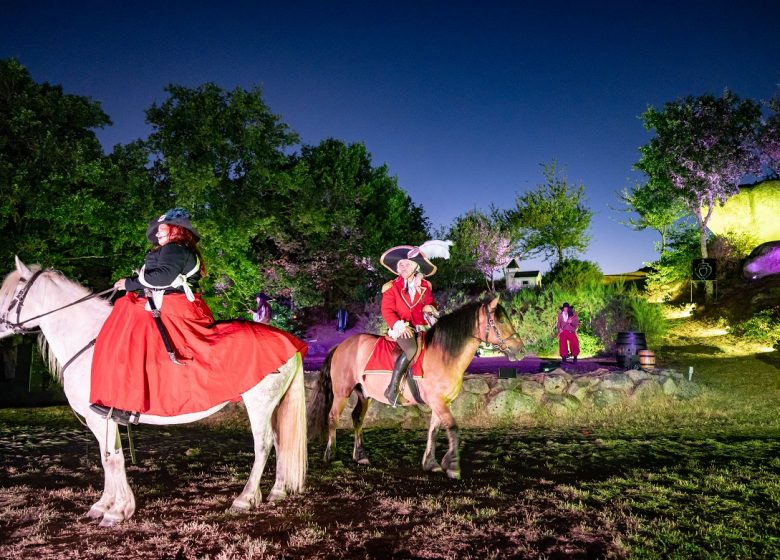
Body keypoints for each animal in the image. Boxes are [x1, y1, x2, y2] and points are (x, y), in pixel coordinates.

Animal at [0, 256, 308, 528]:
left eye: (10, 295)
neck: (89, 342)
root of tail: (289, 341)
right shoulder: (107, 419)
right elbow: (109, 457)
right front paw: (105, 505)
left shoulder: (100, 418)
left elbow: (111, 459)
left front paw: (117, 511)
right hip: (272, 405)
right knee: (279, 440)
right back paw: (277, 491)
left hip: (259, 404)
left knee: (263, 444)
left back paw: (245, 498)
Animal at [306, 296, 524, 480]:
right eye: (500, 321)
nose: (520, 350)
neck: (444, 354)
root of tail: (341, 346)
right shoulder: (437, 402)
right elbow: (453, 428)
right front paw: (453, 467)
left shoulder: (442, 403)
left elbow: (434, 430)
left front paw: (431, 463)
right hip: (342, 392)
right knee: (333, 418)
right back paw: (331, 455)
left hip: (364, 394)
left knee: (357, 419)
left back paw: (360, 456)